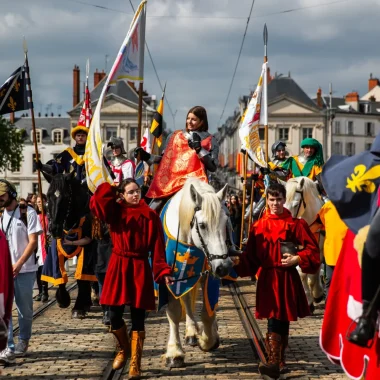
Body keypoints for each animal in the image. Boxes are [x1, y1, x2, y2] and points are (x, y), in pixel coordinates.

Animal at [163, 178, 233, 368]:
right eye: (202, 225)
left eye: (226, 223)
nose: (223, 267)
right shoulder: (172, 279)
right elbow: (173, 312)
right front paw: (175, 352)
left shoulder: (209, 274)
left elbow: (208, 312)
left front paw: (207, 340)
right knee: (187, 300)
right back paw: (191, 332)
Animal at [280, 177, 324, 312]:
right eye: (283, 203)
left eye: (295, 204)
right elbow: (301, 273)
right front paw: (308, 301)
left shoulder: (319, 250)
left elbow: (314, 271)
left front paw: (316, 295)